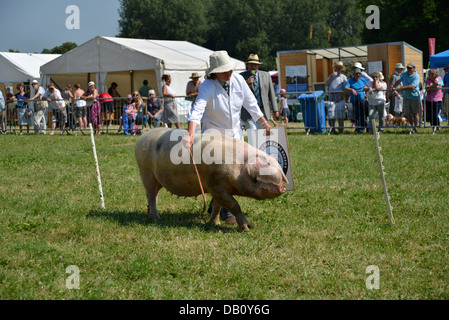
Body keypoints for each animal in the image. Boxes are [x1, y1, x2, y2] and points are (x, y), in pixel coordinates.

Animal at [134, 127, 288, 230]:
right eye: (256, 178)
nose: (283, 186)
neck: (238, 167)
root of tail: (143, 135)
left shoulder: (216, 187)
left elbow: (217, 206)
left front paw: (215, 223)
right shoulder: (217, 184)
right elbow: (234, 205)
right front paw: (247, 227)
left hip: (157, 178)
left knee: (154, 195)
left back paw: (152, 215)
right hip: (145, 171)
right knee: (151, 195)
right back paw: (156, 218)